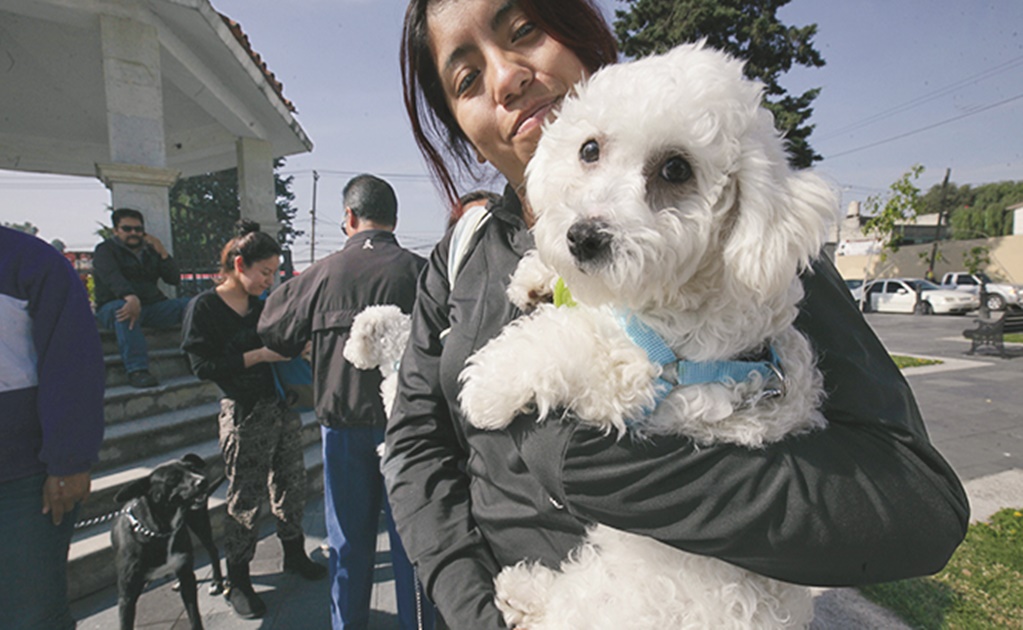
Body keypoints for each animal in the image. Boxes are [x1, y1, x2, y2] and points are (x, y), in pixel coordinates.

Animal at [109, 456, 224, 625]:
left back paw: (217, 583)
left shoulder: (188, 581)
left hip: (199, 522)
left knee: (213, 550)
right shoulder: (127, 597)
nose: (202, 481)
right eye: (173, 478)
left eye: (192, 468)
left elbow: (194, 617)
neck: (158, 531)